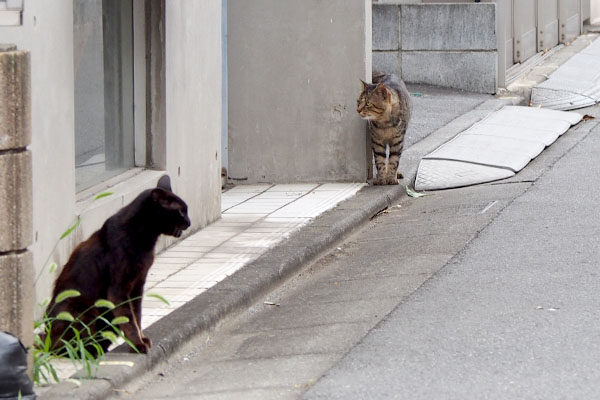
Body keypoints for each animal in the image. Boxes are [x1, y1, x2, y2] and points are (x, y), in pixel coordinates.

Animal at [44, 174, 190, 354]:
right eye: (180, 211)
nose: (189, 222)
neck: (145, 238)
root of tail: (45, 339)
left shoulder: (137, 285)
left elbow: (137, 316)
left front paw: (142, 339)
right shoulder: (119, 288)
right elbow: (128, 319)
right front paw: (137, 344)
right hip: (82, 311)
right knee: (67, 346)